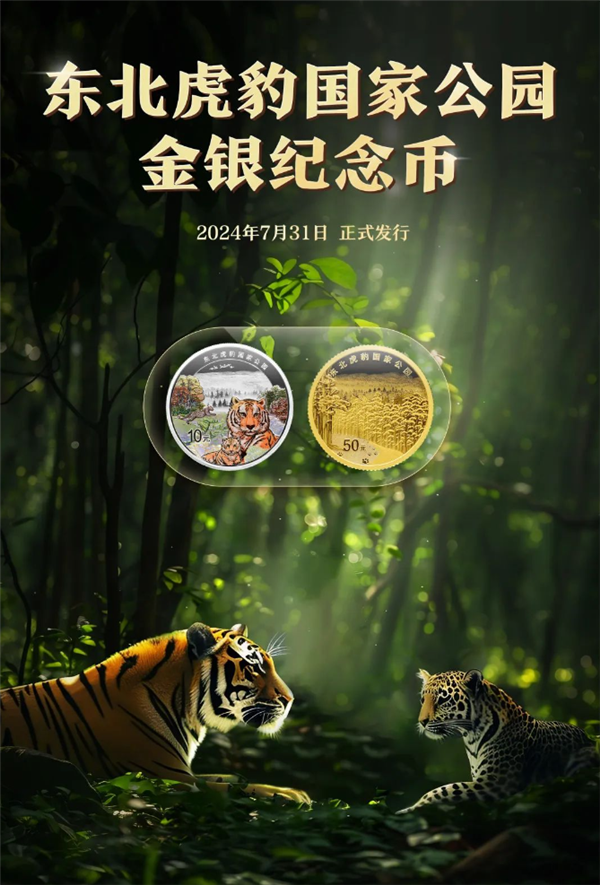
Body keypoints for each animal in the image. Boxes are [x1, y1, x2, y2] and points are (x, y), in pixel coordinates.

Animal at [0, 622, 310, 804]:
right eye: (254, 667)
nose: (290, 700)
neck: (185, 708)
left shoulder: (186, 772)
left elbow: (228, 777)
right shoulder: (172, 779)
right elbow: (241, 789)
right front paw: (294, 795)